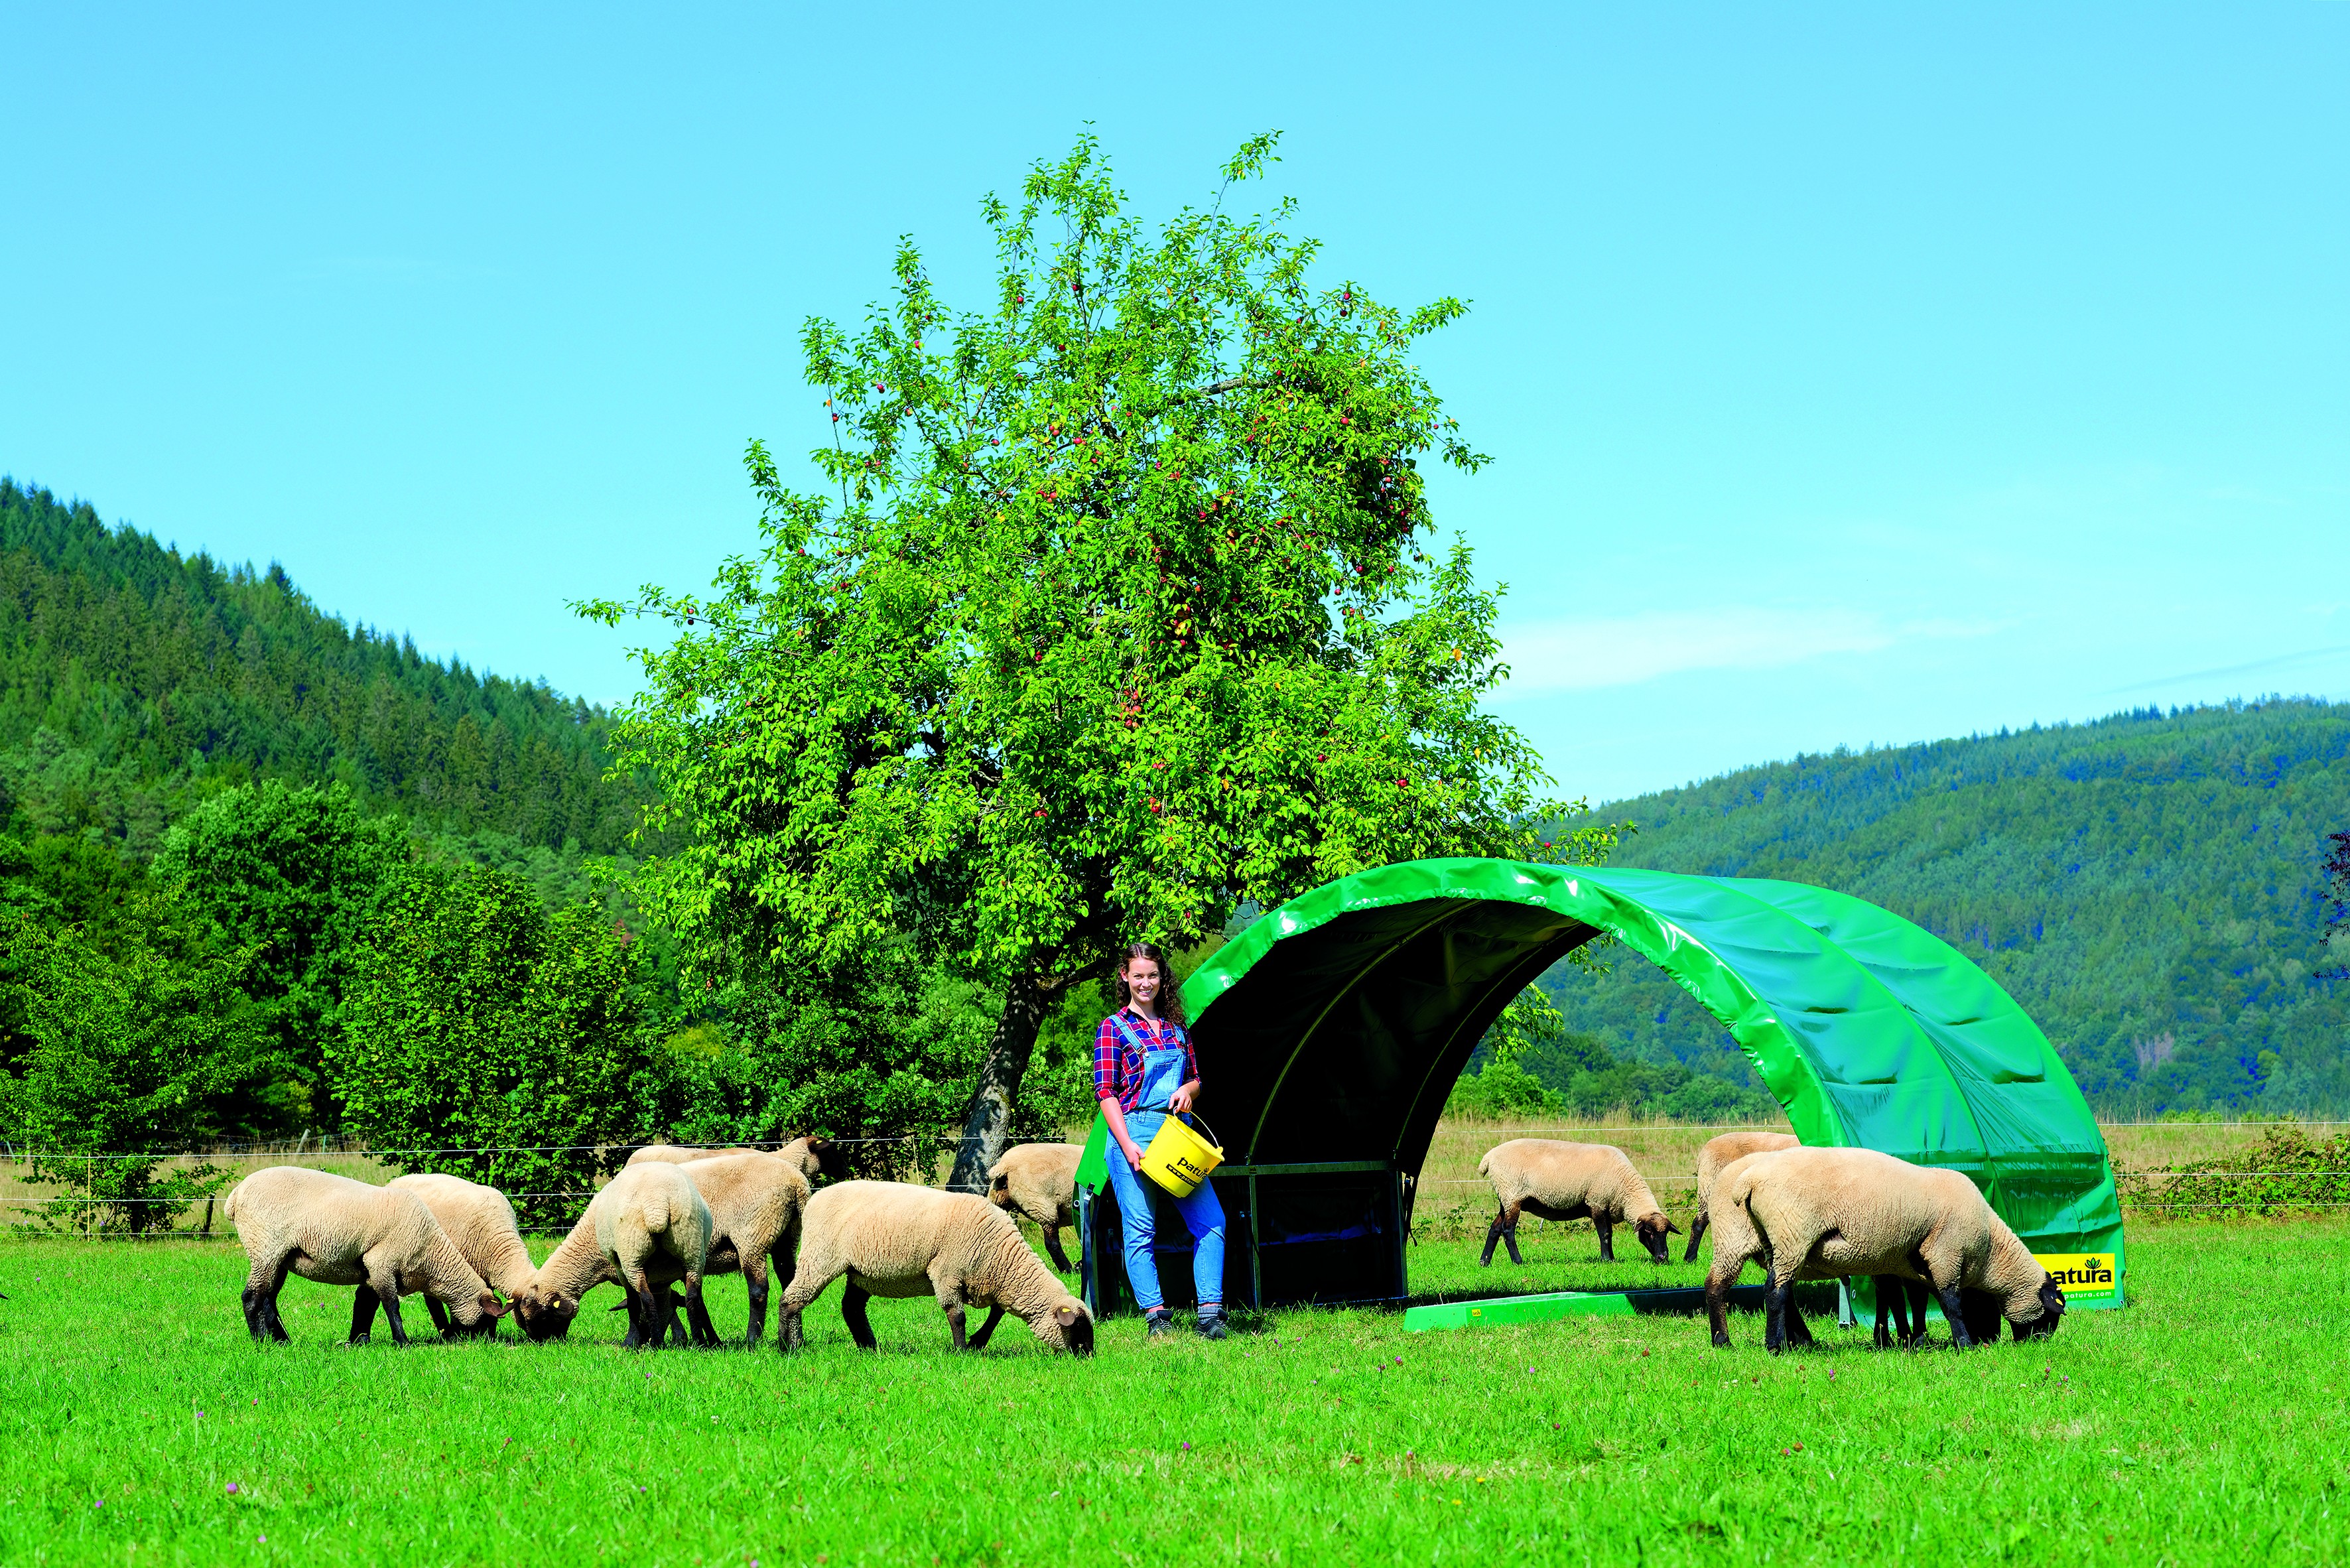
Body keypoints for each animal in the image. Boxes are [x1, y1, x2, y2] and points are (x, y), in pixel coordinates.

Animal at [224, 1165, 509, 1354]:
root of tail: (235, 1196)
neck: (429, 1256)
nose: (486, 1344)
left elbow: (366, 1305)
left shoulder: (372, 1271)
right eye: (489, 1320)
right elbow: (392, 1305)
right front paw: (402, 1342)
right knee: (252, 1298)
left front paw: (358, 1341)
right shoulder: (381, 1262)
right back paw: (260, 1341)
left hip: (280, 1256)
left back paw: (282, 1341)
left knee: (268, 1299)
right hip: (265, 1246)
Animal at [780, 1185, 1090, 1354]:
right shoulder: (947, 1274)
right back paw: (788, 1348)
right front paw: (962, 1351)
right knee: (791, 1300)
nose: (1087, 1358)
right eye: (1078, 1328)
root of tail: (815, 1198)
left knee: (851, 1308)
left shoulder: (989, 1282)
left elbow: (997, 1313)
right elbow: (958, 1316)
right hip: (821, 1256)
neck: (1003, 1258)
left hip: (862, 1272)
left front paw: (978, 1342)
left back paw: (870, 1348)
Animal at [1476, 1147, 1682, 1269]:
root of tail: (1489, 1158)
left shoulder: (1606, 1206)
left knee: (1495, 1229)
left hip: (1505, 1199)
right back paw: (1518, 1261)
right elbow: (1604, 1234)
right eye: (1648, 1232)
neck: (1626, 1191)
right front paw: (1606, 1260)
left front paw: (1612, 1258)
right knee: (1507, 1230)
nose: (1663, 1257)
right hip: (1512, 1195)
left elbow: (1610, 1235)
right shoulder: (1597, 1202)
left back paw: (1484, 1262)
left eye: (1666, 1233)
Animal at [1701, 1147, 2067, 1354]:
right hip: (1786, 1232)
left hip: (1764, 1240)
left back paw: (1786, 1341)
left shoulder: (1913, 1262)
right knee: (1764, 1290)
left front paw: (1915, 1342)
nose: (2037, 1345)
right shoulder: (1945, 1253)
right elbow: (1949, 1304)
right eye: (2050, 1317)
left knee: (1765, 1286)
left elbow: (1912, 1302)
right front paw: (1963, 1345)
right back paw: (1763, 1345)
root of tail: (1747, 1181)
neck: (1989, 1248)